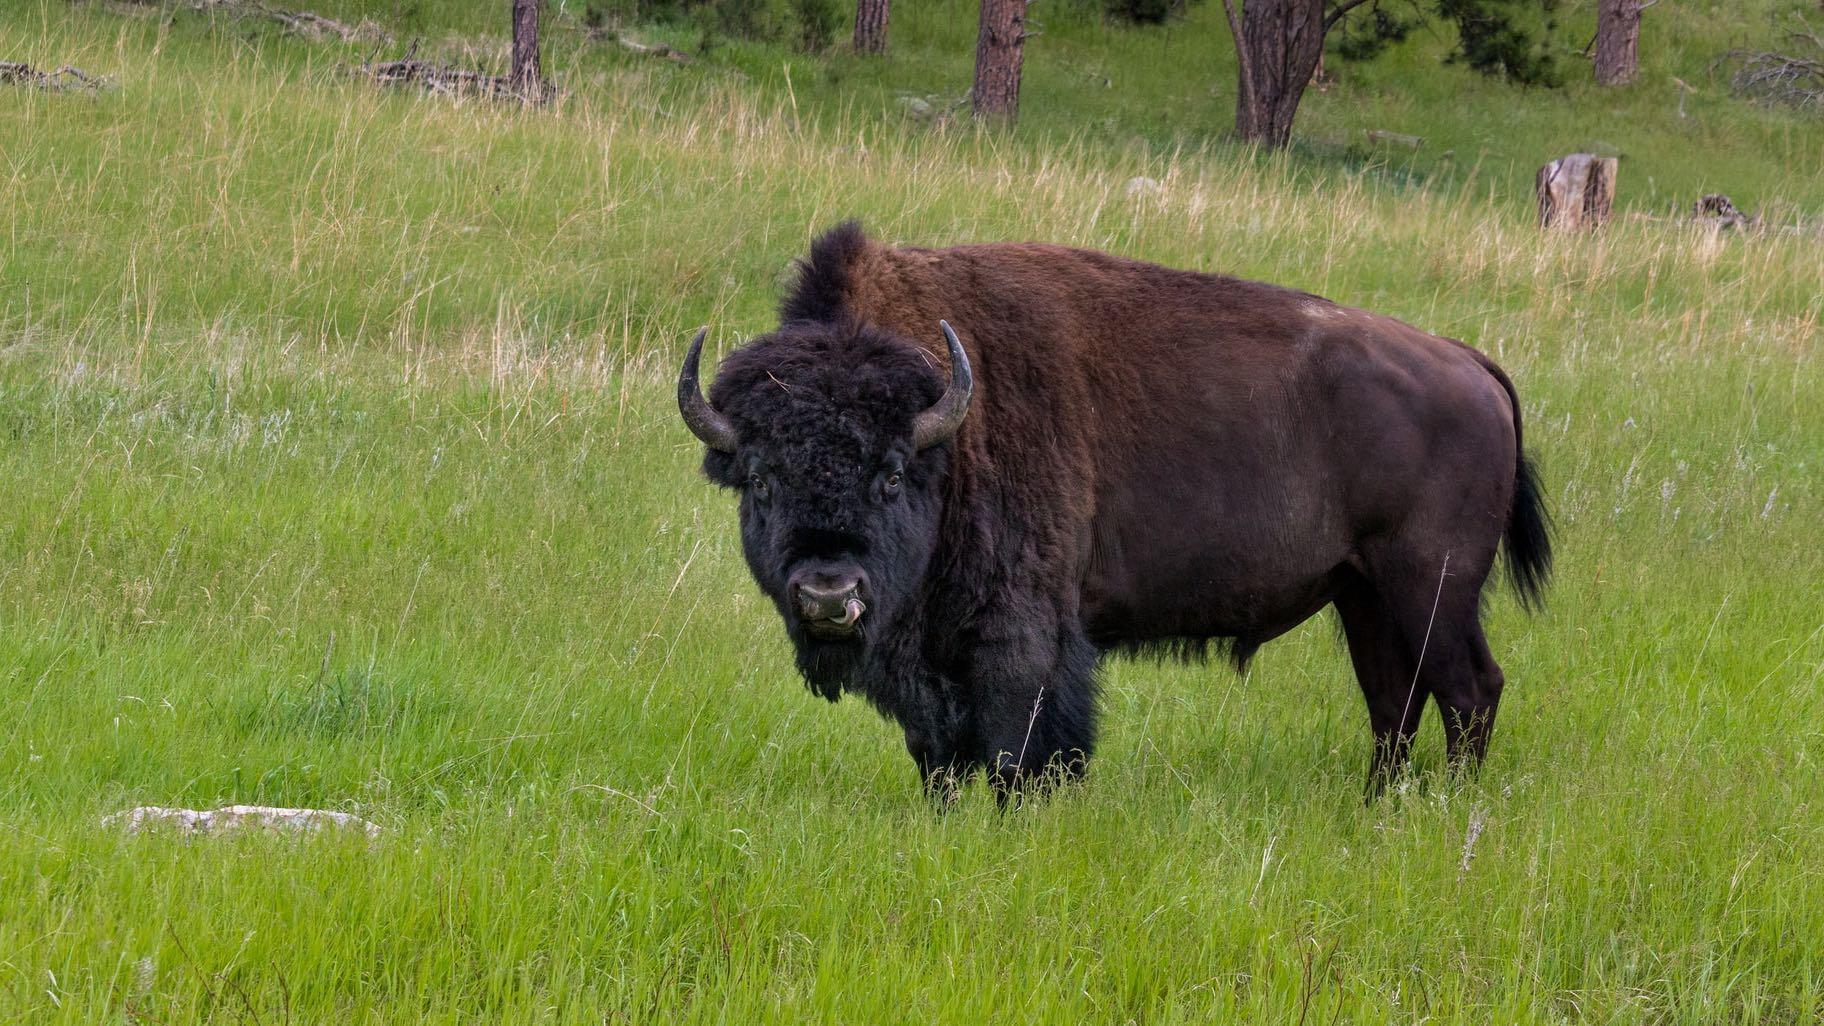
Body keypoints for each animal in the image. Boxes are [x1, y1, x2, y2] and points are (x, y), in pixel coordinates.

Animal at [678, 221, 1546, 799]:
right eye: (759, 478)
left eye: (891, 473)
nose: (827, 594)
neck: (948, 431)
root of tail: (1468, 362)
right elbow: (938, 756)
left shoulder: (1023, 637)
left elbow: (1020, 747)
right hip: (1363, 593)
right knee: (1394, 700)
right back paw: (1376, 808)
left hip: (1432, 586)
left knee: (1470, 691)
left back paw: (1448, 810)